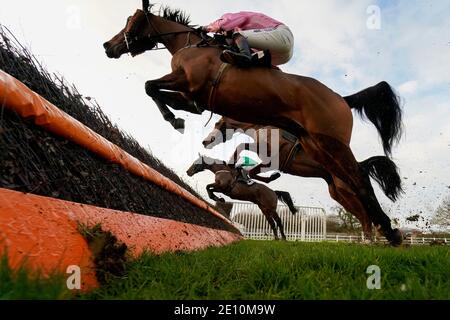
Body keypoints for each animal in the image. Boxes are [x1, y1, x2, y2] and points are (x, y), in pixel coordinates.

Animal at [104, 3, 404, 245]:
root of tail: (342, 98)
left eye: (130, 21)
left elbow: (149, 86)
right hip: (321, 153)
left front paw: (173, 120)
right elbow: (155, 91)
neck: (188, 46)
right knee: (356, 188)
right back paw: (381, 233)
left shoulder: (187, 83)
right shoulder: (193, 98)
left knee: (361, 180)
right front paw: (176, 118)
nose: (108, 46)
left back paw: (389, 233)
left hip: (332, 143)